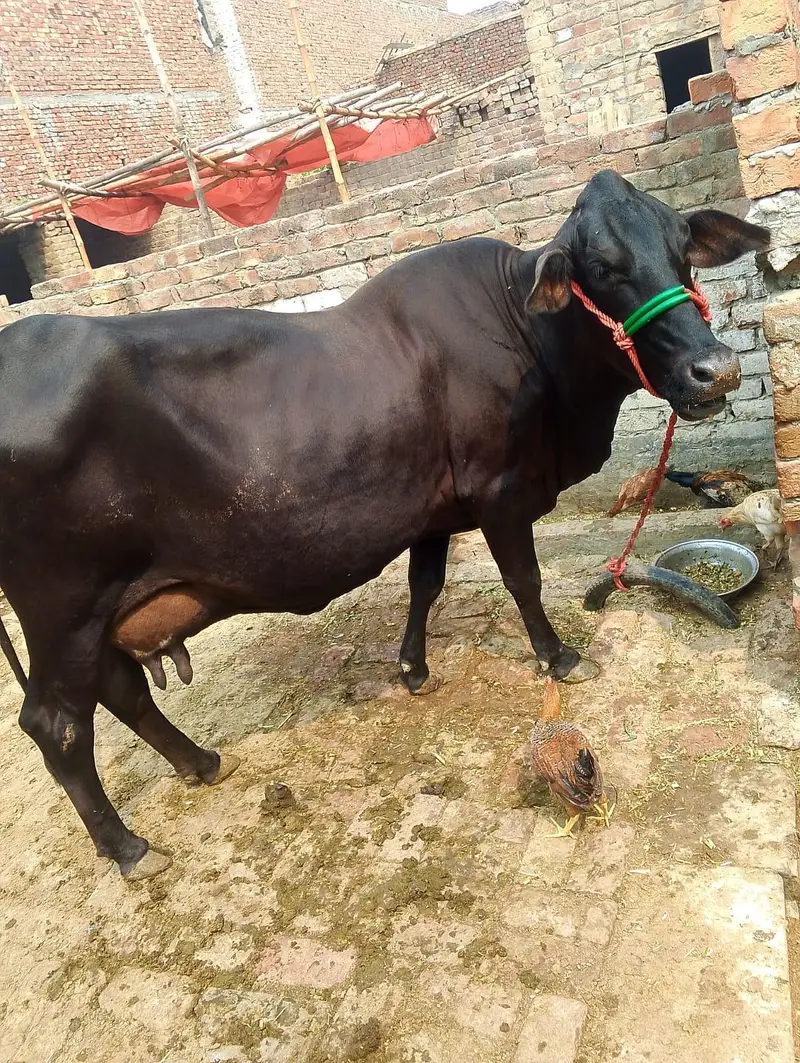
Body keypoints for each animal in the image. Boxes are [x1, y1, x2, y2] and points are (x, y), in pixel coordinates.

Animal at [0, 171, 769, 880]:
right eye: (603, 267)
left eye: (682, 249)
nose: (717, 369)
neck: (530, 342)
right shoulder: (500, 493)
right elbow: (523, 581)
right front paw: (560, 657)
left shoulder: (435, 510)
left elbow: (424, 585)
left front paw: (413, 669)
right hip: (64, 610)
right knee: (56, 725)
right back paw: (129, 847)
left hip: (100, 614)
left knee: (120, 691)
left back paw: (201, 761)